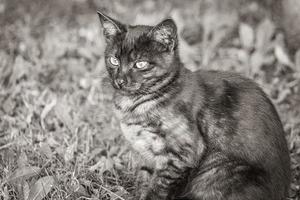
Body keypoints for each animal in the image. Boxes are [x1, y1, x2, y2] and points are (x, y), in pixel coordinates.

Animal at [96, 10, 290, 200]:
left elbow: (158, 189)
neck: (133, 104)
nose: (120, 81)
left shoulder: (181, 155)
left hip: (215, 170)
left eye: (140, 64)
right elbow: (144, 178)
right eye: (114, 60)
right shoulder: (146, 153)